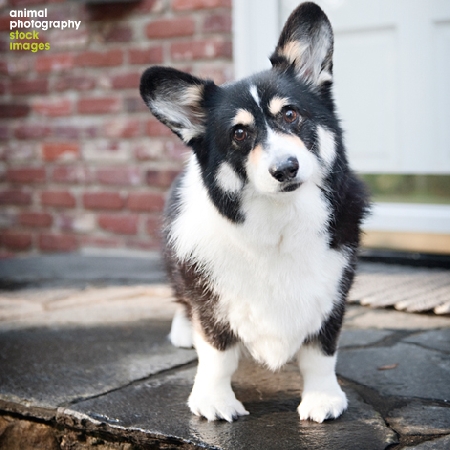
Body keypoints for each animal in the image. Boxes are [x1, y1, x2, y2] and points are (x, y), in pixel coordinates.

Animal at [141, 1, 370, 424]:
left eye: (291, 115)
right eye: (239, 133)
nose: (286, 169)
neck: (280, 219)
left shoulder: (332, 297)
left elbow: (321, 353)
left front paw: (323, 398)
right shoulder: (210, 303)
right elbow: (217, 355)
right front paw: (214, 401)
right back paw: (182, 331)